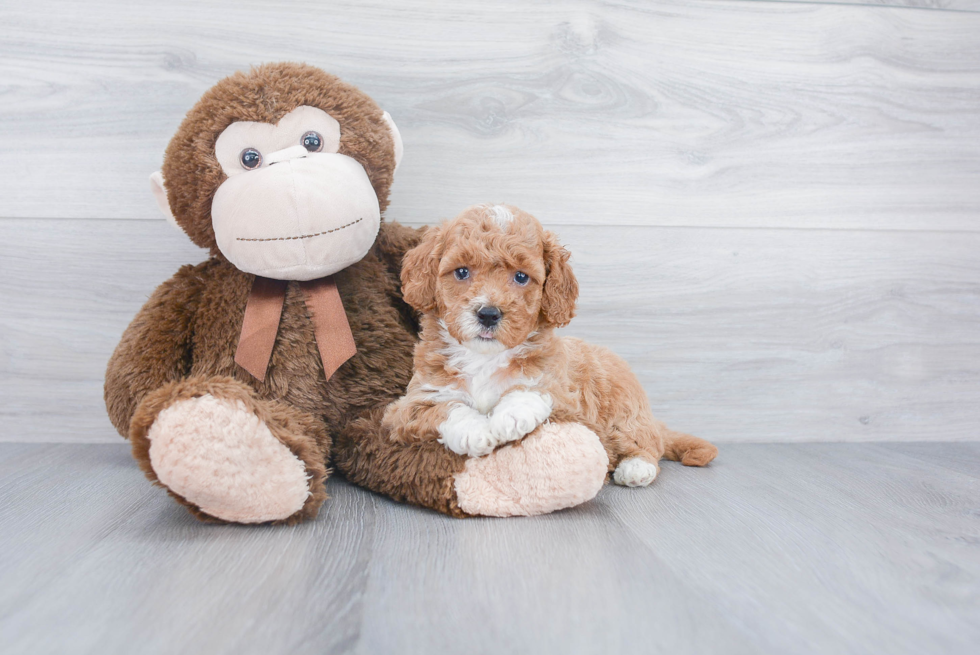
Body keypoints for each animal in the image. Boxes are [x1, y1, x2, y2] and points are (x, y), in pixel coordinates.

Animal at [384, 205, 720, 486]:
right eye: (462, 271)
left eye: (521, 277)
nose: (489, 314)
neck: (485, 359)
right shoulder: (408, 406)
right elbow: (443, 409)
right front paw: (477, 431)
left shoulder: (568, 399)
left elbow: (536, 389)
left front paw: (511, 415)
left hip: (626, 411)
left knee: (647, 442)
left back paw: (636, 467)